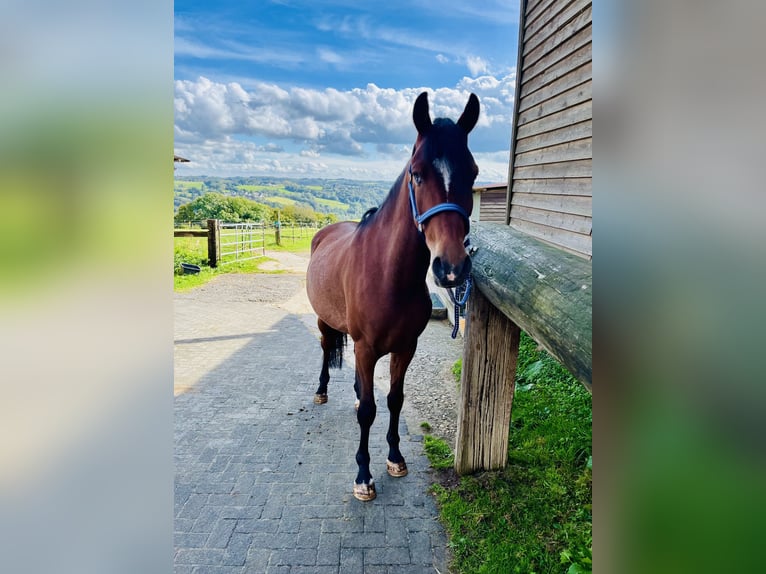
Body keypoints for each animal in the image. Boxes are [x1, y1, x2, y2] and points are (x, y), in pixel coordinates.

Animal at [308, 92, 480, 502]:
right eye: (417, 174)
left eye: (473, 173)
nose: (452, 267)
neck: (388, 277)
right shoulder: (367, 348)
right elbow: (369, 412)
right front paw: (363, 475)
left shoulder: (405, 348)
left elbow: (393, 400)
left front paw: (395, 457)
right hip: (324, 322)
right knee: (324, 349)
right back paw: (321, 391)